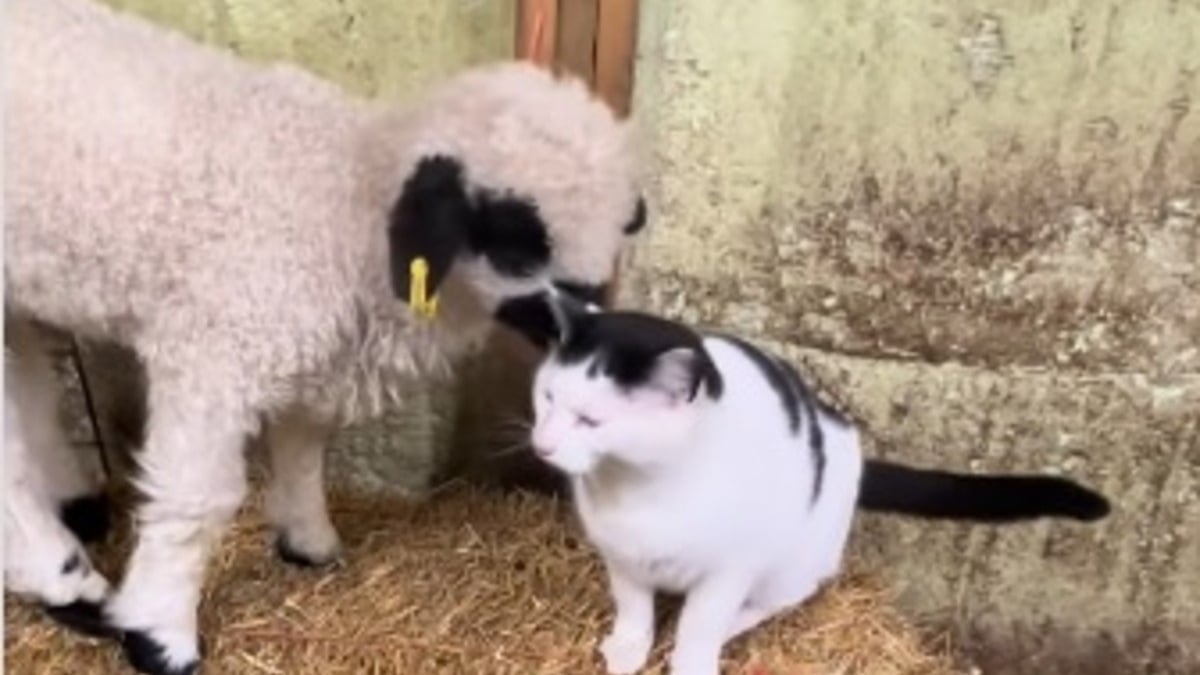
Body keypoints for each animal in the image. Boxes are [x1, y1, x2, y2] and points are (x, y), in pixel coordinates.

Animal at [4, 0, 648, 673]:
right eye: (514, 237)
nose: (593, 329)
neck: (348, 203)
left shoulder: (312, 349)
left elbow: (303, 446)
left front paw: (307, 540)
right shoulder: (215, 353)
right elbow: (195, 499)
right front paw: (160, 633)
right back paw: (62, 575)